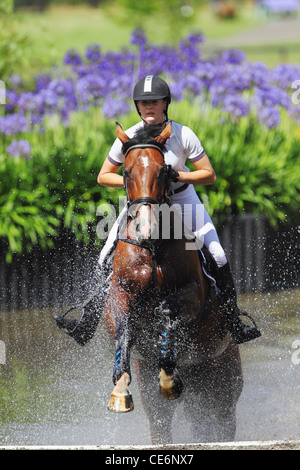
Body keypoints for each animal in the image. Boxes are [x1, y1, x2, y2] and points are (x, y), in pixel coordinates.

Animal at [103, 122, 244, 444]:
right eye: (126, 172)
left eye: (163, 170)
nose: (146, 230)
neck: (154, 248)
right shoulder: (120, 294)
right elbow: (124, 328)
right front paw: (120, 390)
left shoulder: (193, 294)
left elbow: (170, 311)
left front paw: (168, 376)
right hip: (168, 386)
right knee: (162, 422)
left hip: (223, 378)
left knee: (222, 422)